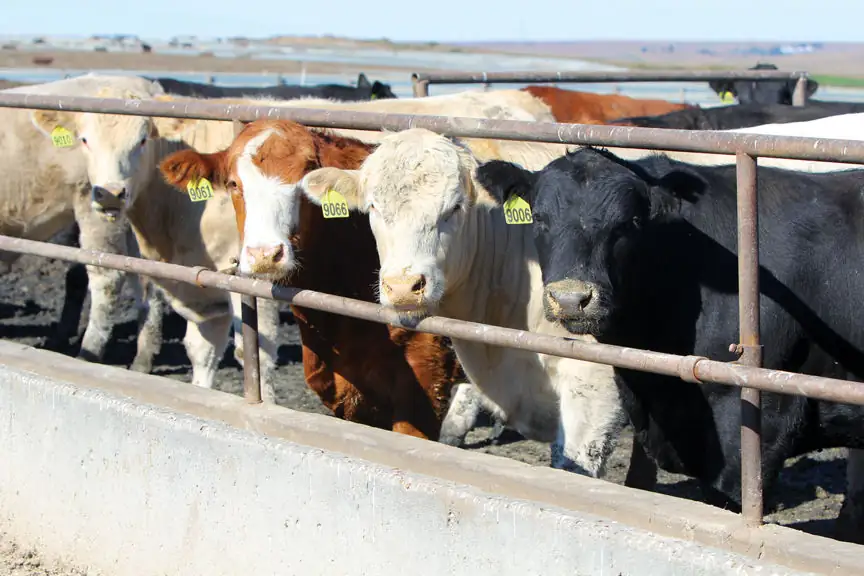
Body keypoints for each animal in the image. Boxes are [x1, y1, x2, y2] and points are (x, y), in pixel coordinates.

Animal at [29, 83, 282, 402]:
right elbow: (201, 352)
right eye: (85, 140)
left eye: (142, 140)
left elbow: (257, 356)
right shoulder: (205, 287)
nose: (110, 194)